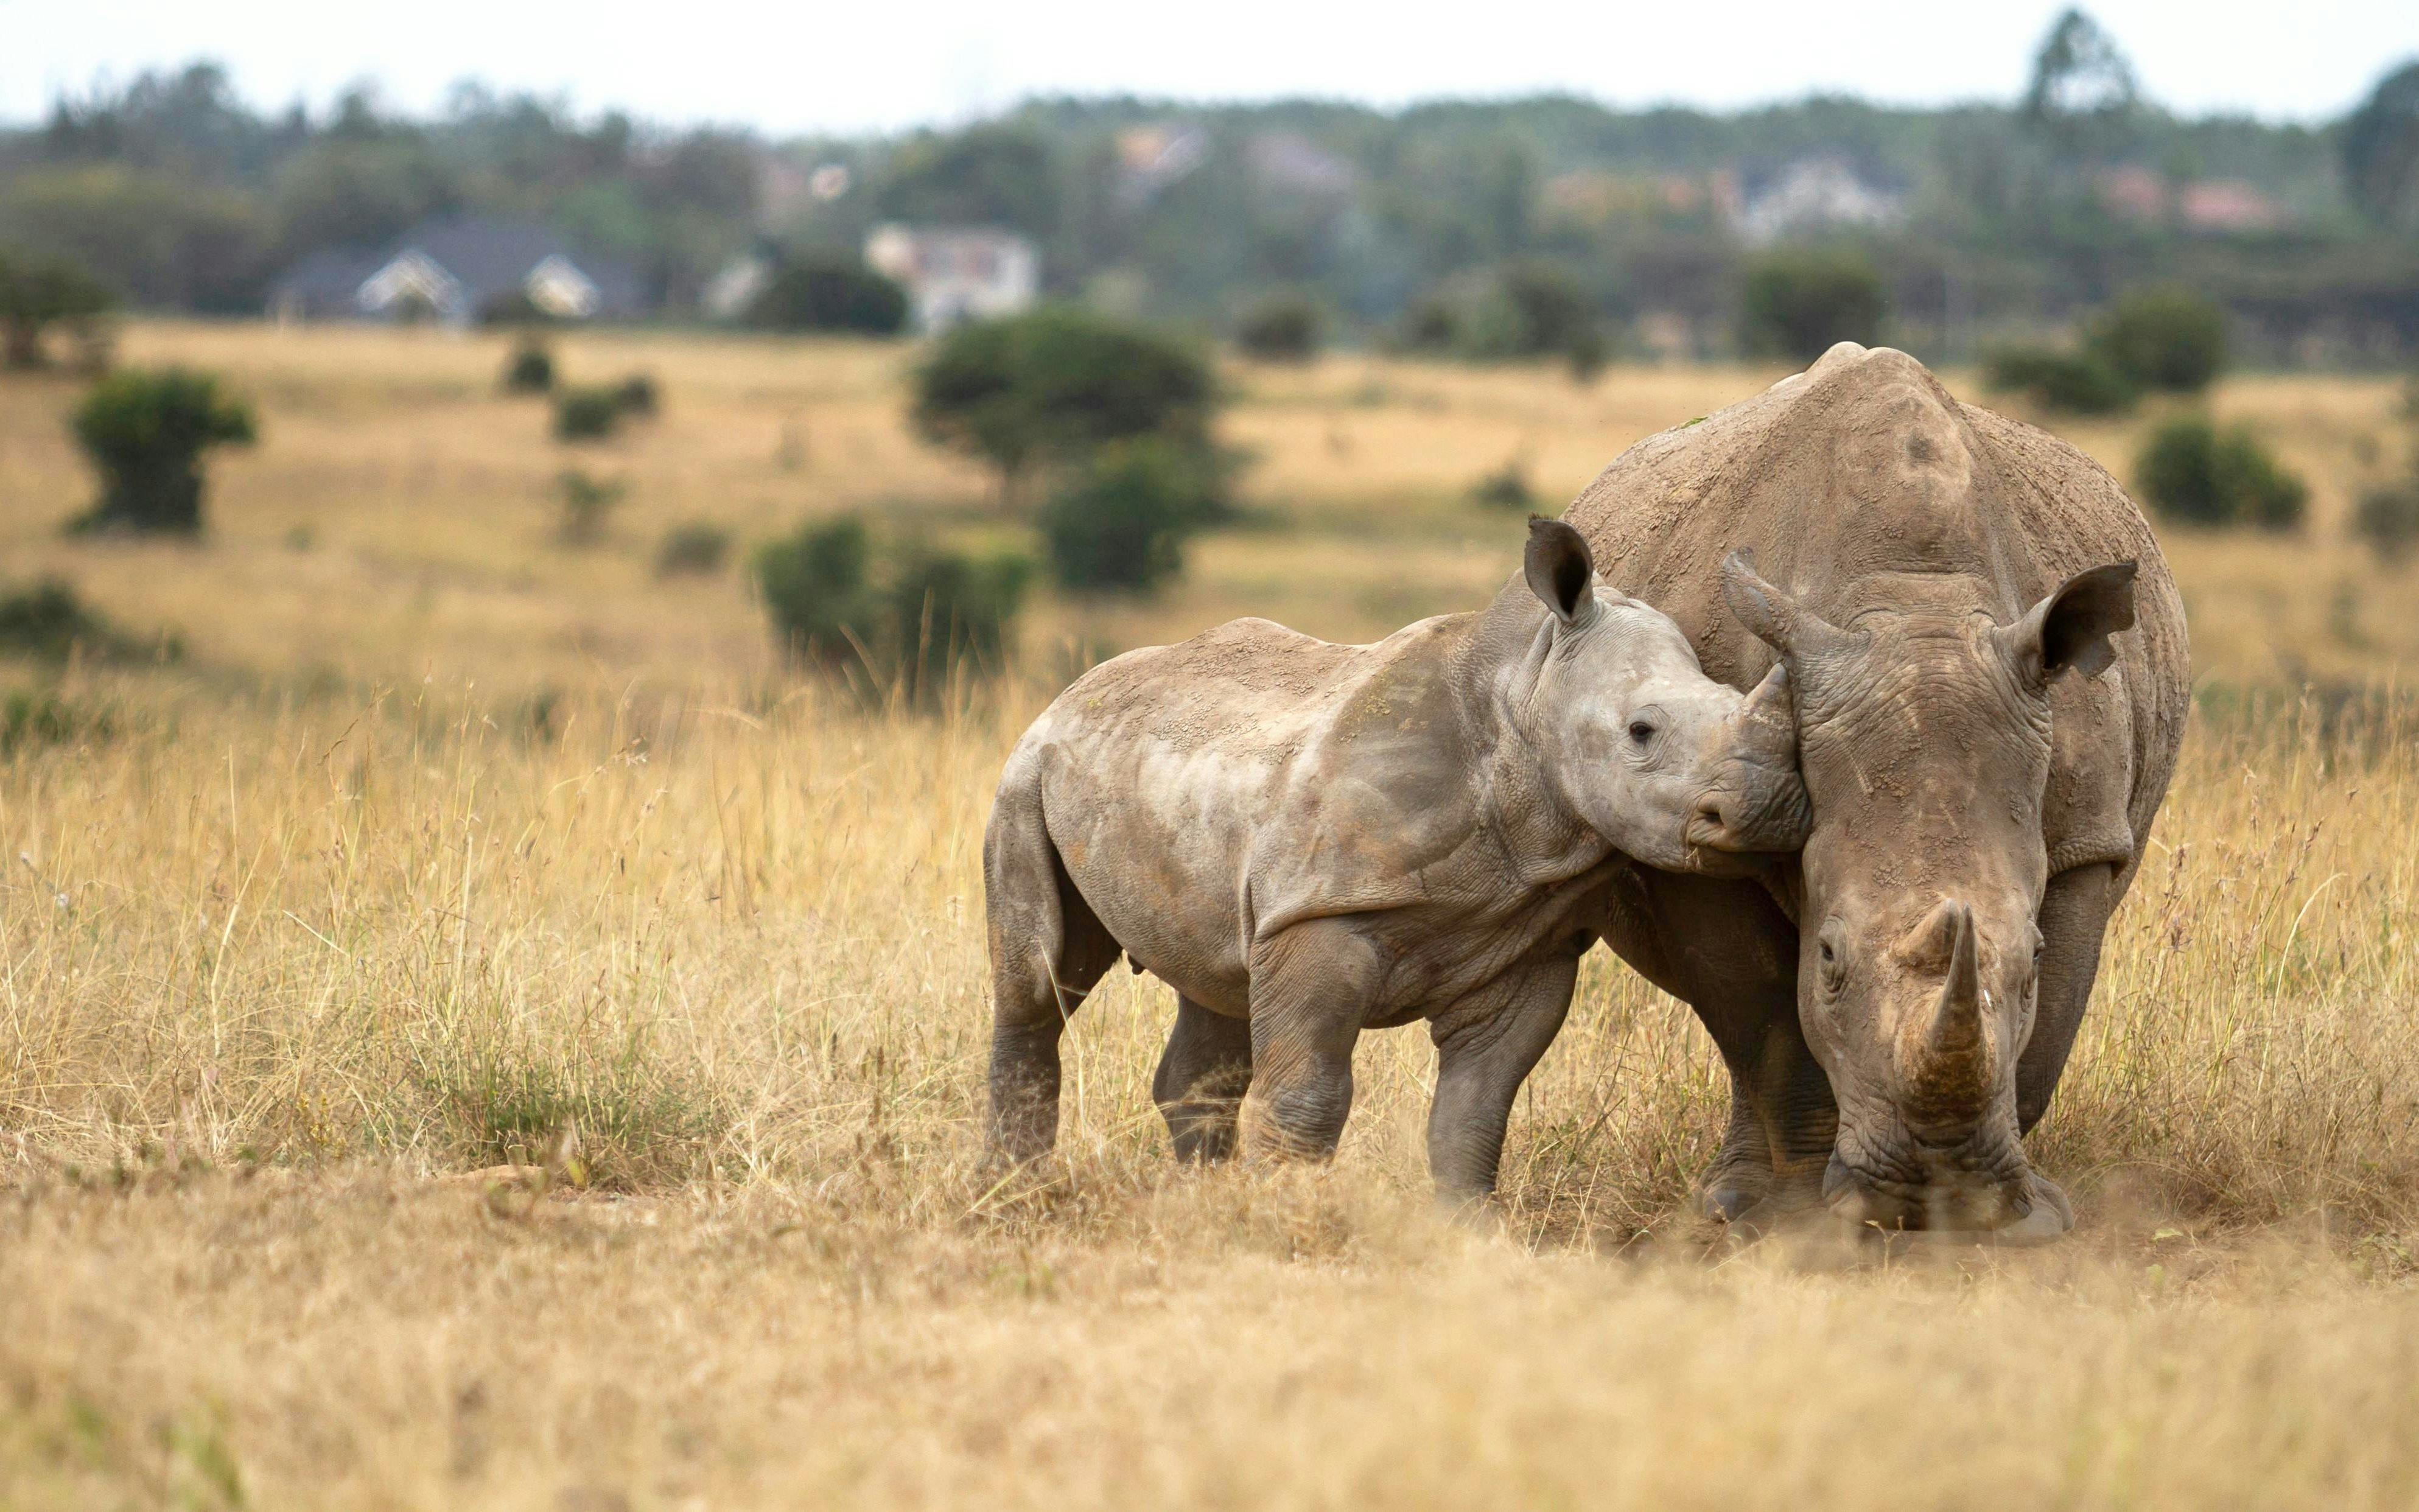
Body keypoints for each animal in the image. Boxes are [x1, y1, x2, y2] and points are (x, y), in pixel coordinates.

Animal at [984, 519, 1810, 1199]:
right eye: (1641, 732)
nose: (1766, 806)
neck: (1522, 702)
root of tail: (1073, 691)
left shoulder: (1522, 940)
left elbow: (1475, 1112)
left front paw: (1466, 1234)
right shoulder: (1318, 915)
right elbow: (1307, 1096)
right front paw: (1287, 1219)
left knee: (1212, 980)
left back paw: (1194, 1199)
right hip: (1026, 774)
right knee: (1040, 982)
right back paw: (1015, 1194)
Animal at [1564, 343, 2190, 1239]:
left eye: (2029, 957)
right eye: (1829, 959)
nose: (1935, 1184)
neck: (1915, 609)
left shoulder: (2085, 837)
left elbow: (2050, 1023)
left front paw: (2019, 1218)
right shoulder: (1694, 825)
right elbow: (1761, 1015)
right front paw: (1794, 1217)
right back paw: (1731, 1200)